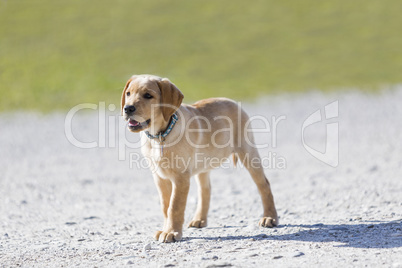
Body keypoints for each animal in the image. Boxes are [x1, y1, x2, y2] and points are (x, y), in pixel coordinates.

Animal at [121, 74, 278, 243]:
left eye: (148, 95)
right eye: (128, 94)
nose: (127, 108)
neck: (159, 136)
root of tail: (232, 101)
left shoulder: (180, 178)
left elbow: (174, 206)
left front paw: (172, 232)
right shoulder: (159, 177)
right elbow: (165, 205)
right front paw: (165, 229)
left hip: (248, 153)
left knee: (264, 184)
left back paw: (270, 218)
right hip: (202, 165)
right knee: (205, 190)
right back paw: (199, 219)